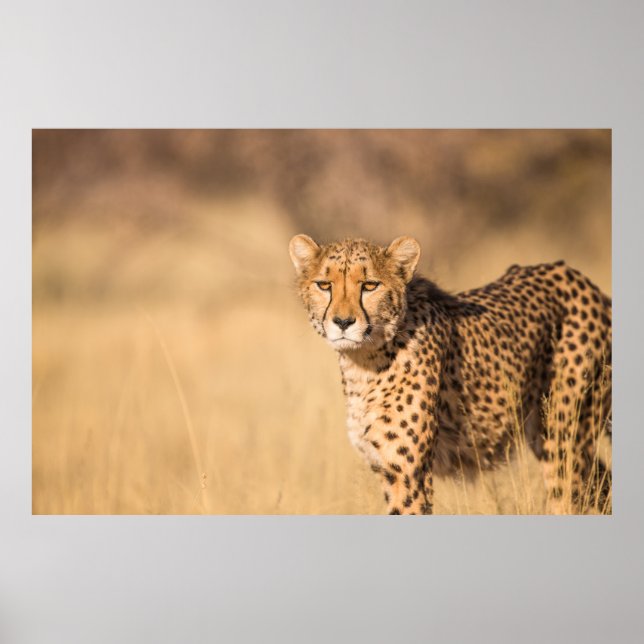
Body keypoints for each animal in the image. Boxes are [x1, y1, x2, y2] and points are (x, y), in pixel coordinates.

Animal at [289, 234, 612, 515]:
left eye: (369, 285)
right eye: (324, 285)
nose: (343, 322)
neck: (364, 361)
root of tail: (580, 279)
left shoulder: (409, 475)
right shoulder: (387, 468)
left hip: (564, 440)